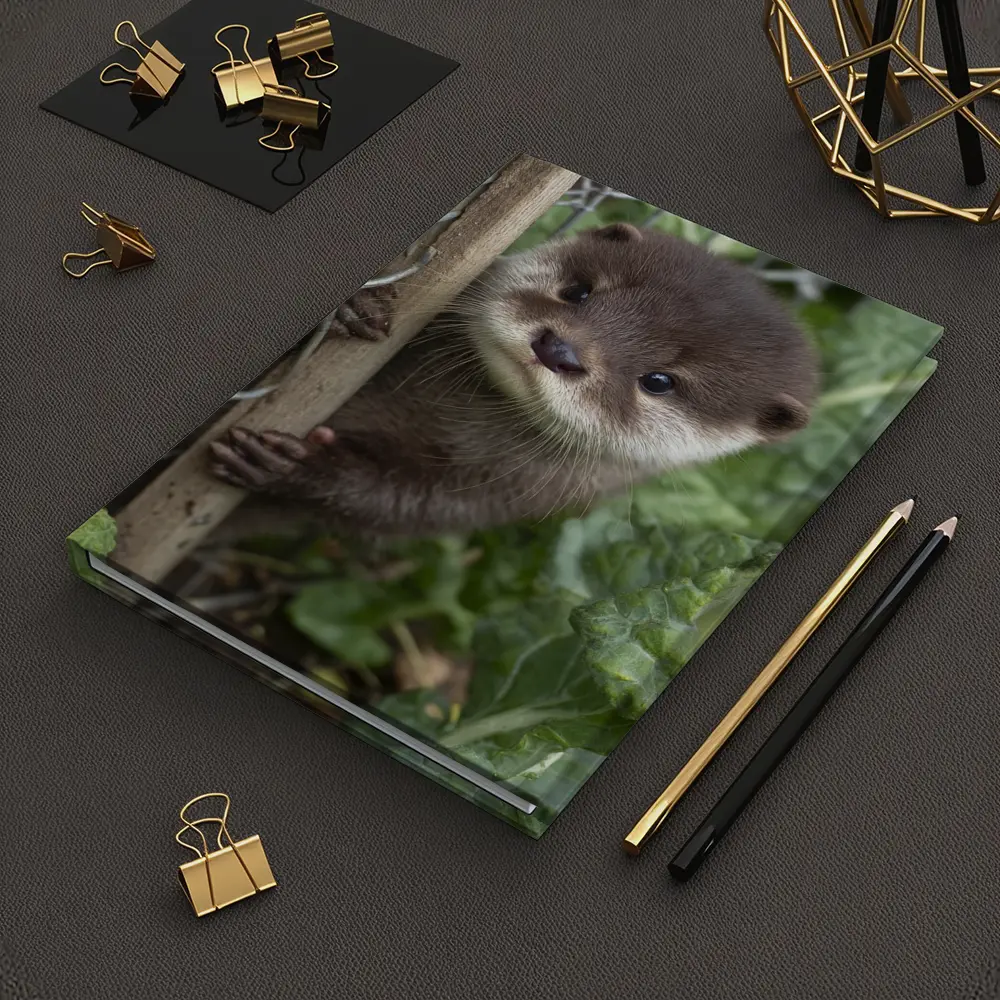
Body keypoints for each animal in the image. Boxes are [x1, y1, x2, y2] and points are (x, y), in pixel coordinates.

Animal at [209, 223, 818, 536]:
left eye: (660, 380)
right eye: (578, 291)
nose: (558, 348)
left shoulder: (506, 496)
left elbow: (396, 503)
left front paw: (293, 466)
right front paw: (355, 304)